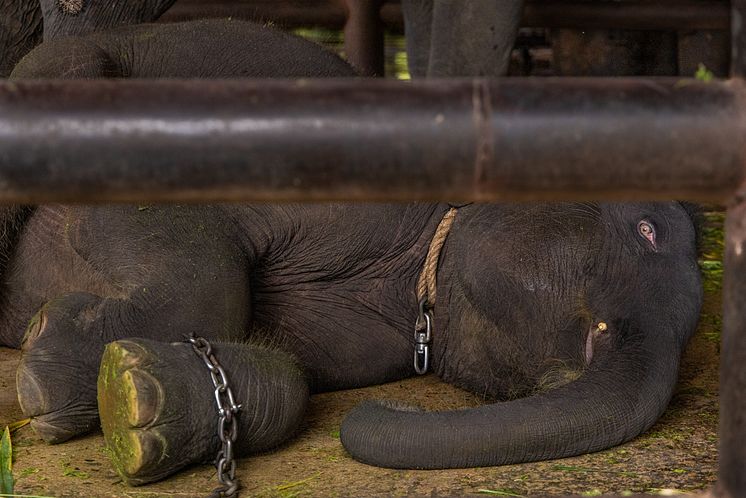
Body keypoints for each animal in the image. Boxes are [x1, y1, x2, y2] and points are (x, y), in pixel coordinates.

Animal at [4, 15, 704, 490]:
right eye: (646, 229)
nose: (396, 404)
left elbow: (295, 369)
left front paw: (132, 398)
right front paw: (47, 363)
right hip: (70, 64)